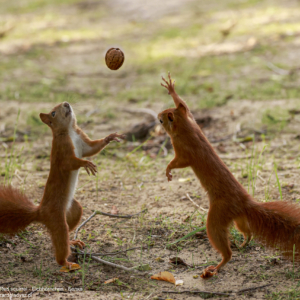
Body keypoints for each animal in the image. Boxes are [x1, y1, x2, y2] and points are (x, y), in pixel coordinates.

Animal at [0, 103, 124, 270]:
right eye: (53, 113)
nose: (66, 104)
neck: (70, 131)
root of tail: (40, 212)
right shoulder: (63, 150)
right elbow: (70, 163)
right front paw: (86, 163)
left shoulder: (83, 142)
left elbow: (93, 148)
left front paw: (109, 137)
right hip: (57, 220)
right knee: (60, 242)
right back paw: (66, 263)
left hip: (74, 210)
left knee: (69, 231)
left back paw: (72, 241)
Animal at [158, 72, 300, 276]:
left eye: (162, 119)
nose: (157, 116)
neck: (187, 128)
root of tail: (245, 203)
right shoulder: (192, 120)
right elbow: (186, 106)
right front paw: (172, 89)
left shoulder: (184, 150)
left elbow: (178, 162)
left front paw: (168, 171)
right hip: (239, 219)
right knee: (247, 231)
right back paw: (244, 242)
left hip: (217, 217)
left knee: (223, 246)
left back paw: (216, 267)